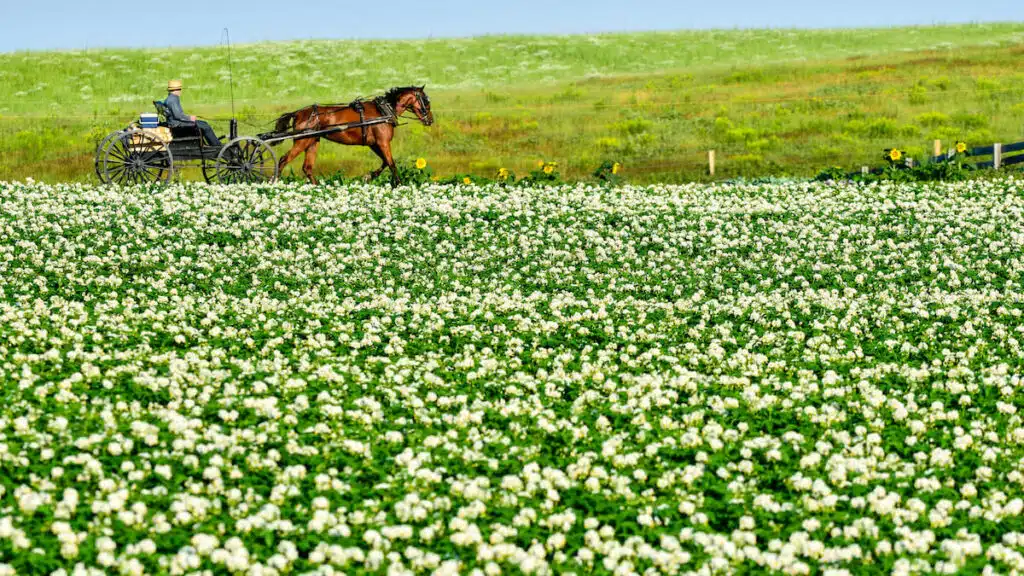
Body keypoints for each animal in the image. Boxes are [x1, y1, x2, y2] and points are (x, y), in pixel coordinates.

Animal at [270, 86, 433, 185]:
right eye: (426, 101)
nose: (430, 120)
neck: (383, 111)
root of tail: (297, 113)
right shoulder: (382, 142)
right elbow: (391, 163)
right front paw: (398, 184)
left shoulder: (374, 144)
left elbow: (385, 162)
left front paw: (369, 176)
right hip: (302, 141)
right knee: (283, 160)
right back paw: (274, 182)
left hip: (312, 141)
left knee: (307, 167)